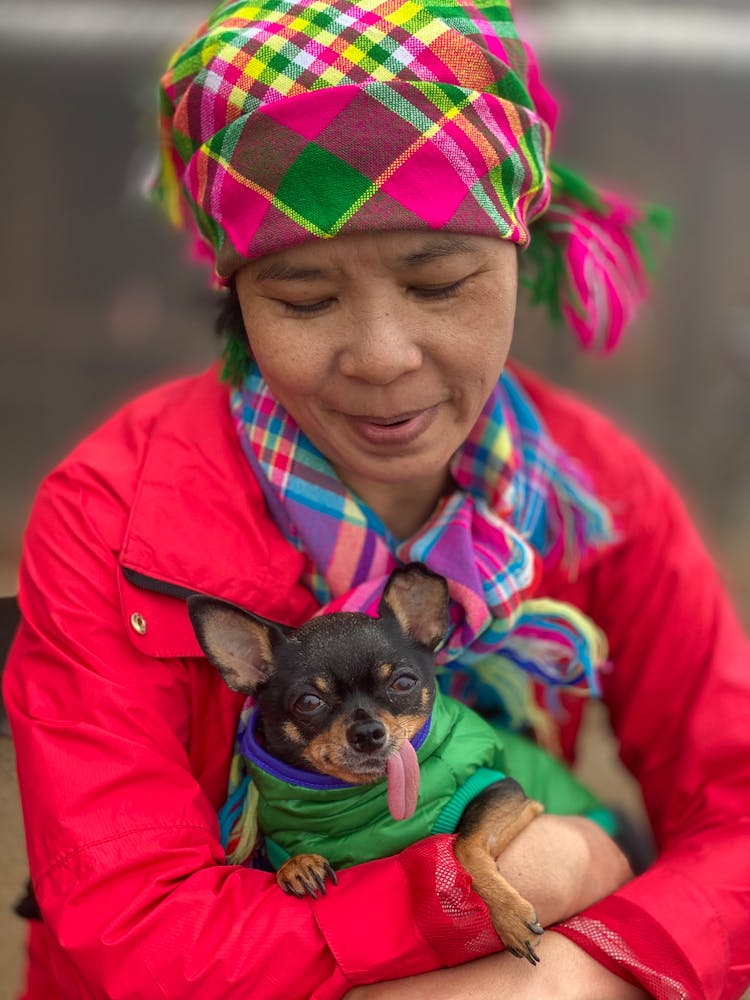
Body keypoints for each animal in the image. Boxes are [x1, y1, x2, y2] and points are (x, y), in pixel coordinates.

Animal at [191, 564, 548, 960]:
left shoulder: (507, 792)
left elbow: (464, 842)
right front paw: (297, 865)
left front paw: (509, 914)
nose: (367, 732)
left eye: (404, 683)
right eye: (309, 702)